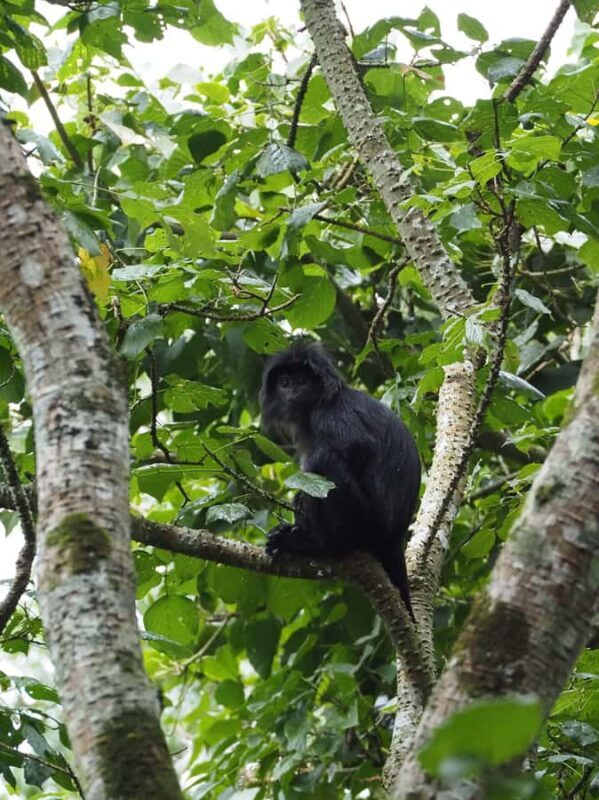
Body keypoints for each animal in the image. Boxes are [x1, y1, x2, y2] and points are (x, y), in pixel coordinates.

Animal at [260, 343, 420, 619]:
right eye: (285, 382)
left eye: (301, 381)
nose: (292, 391)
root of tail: (393, 537)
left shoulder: (333, 414)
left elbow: (356, 447)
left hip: (368, 522)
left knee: (323, 460)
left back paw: (318, 545)